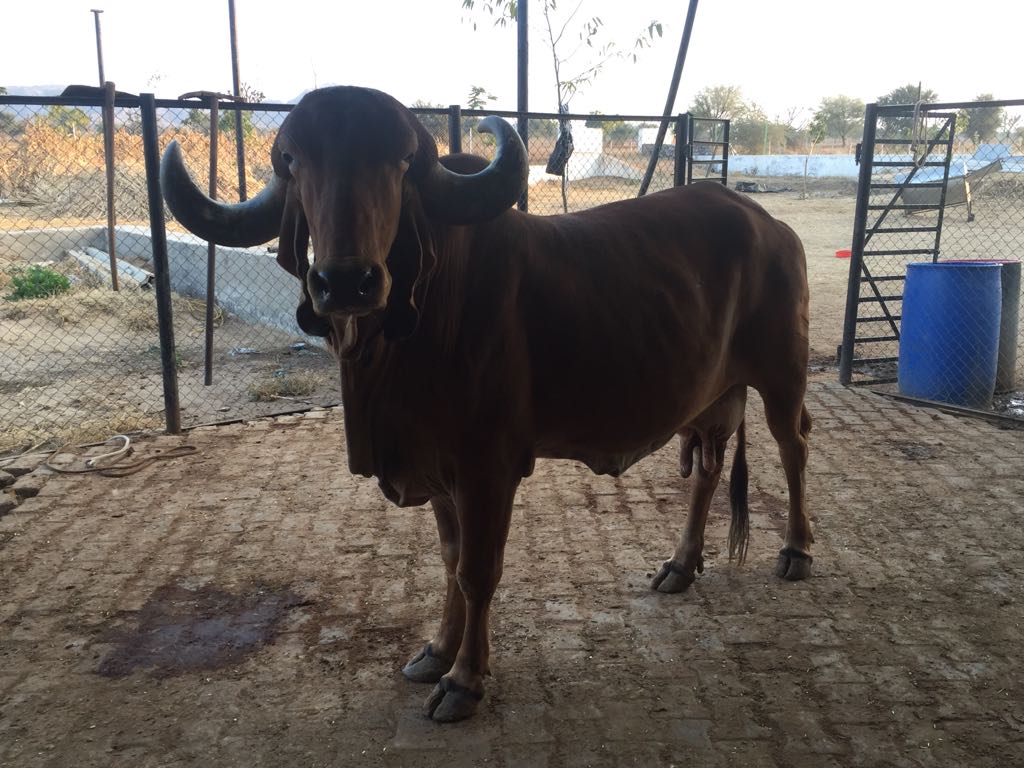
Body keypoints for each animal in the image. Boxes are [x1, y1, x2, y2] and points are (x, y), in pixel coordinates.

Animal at [160, 85, 813, 723]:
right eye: (293, 161)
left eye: (401, 161)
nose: (345, 282)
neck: (417, 327)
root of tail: (771, 226)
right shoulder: (437, 469)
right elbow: (450, 561)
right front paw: (436, 652)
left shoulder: (487, 469)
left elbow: (476, 572)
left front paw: (465, 680)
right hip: (711, 398)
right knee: (708, 468)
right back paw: (681, 564)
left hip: (783, 379)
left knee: (794, 449)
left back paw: (797, 551)